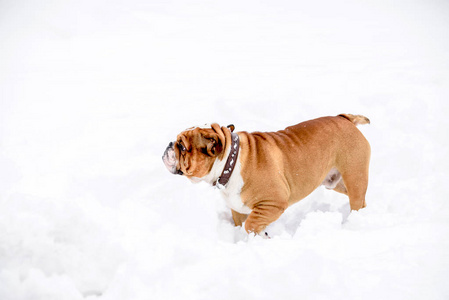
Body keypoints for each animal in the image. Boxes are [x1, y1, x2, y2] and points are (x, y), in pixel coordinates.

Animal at [163, 113, 370, 236]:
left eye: (182, 146)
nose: (169, 144)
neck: (230, 161)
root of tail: (345, 118)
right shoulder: (238, 209)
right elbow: (243, 225)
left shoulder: (273, 203)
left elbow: (251, 225)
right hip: (335, 182)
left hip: (354, 176)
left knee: (357, 201)